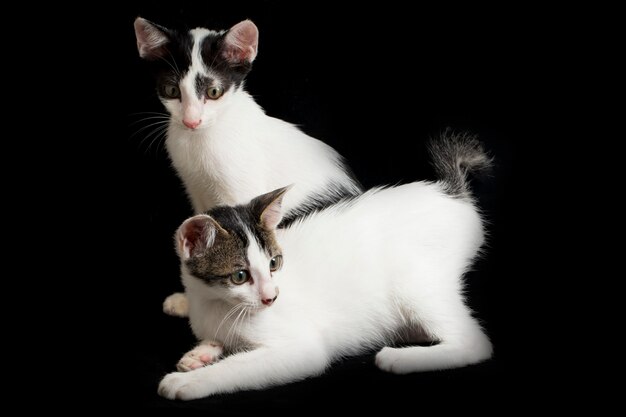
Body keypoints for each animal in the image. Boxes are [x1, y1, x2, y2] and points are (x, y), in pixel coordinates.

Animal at [134, 17, 364, 316]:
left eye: (214, 92)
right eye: (172, 91)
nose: (191, 121)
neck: (200, 140)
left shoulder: (242, 192)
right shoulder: (195, 189)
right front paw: (189, 298)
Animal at [158, 133, 494, 400]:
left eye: (274, 263)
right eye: (240, 276)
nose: (271, 297)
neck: (215, 304)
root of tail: (450, 193)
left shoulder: (302, 349)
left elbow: (240, 366)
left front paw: (189, 380)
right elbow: (220, 341)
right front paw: (200, 353)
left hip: (413, 280)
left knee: (476, 343)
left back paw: (400, 359)